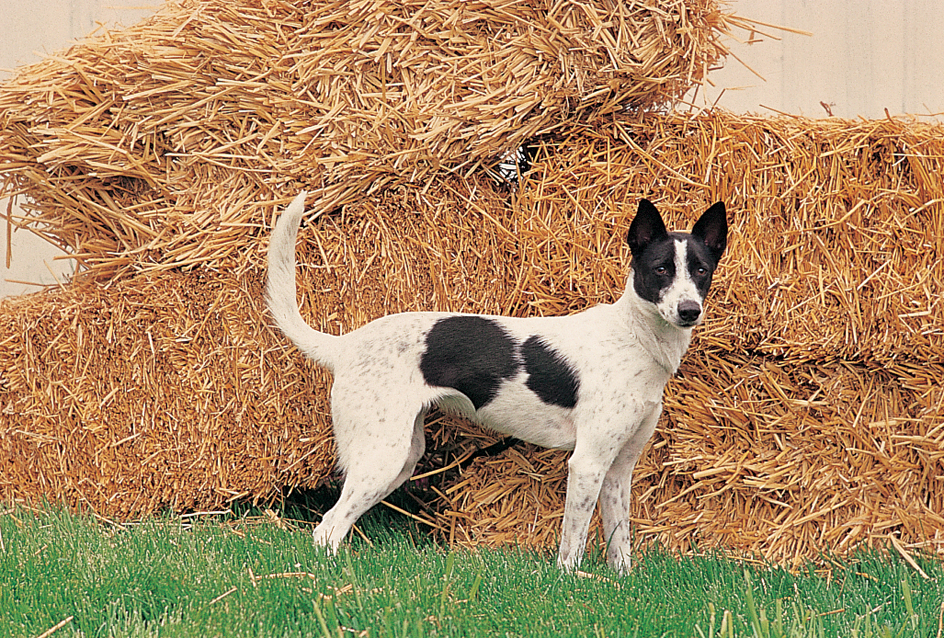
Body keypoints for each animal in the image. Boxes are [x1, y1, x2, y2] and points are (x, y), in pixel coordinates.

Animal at [268, 191, 732, 576]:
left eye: (702, 271)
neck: (634, 338)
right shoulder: (587, 464)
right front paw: (569, 584)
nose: (689, 311)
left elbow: (620, 544)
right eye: (661, 270)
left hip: (402, 456)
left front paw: (620, 585)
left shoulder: (619, 468)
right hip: (381, 456)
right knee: (328, 528)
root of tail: (345, 345)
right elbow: (573, 543)